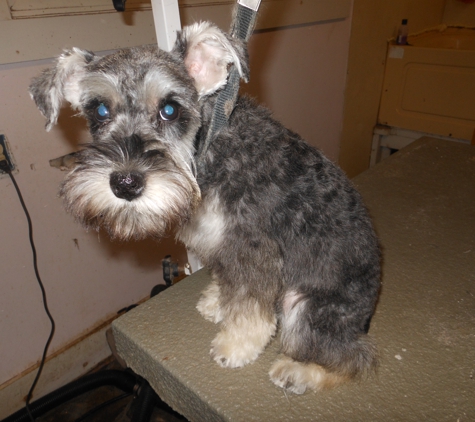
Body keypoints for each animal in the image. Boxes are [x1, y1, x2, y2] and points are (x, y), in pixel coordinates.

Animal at [29, 21, 382, 394]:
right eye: (99, 110)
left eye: (170, 109)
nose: (125, 183)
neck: (209, 150)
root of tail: (366, 314)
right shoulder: (217, 244)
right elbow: (226, 282)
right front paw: (217, 302)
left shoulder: (253, 249)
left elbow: (250, 304)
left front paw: (236, 345)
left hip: (306, 307)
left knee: (350, 357)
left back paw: (297, 371)